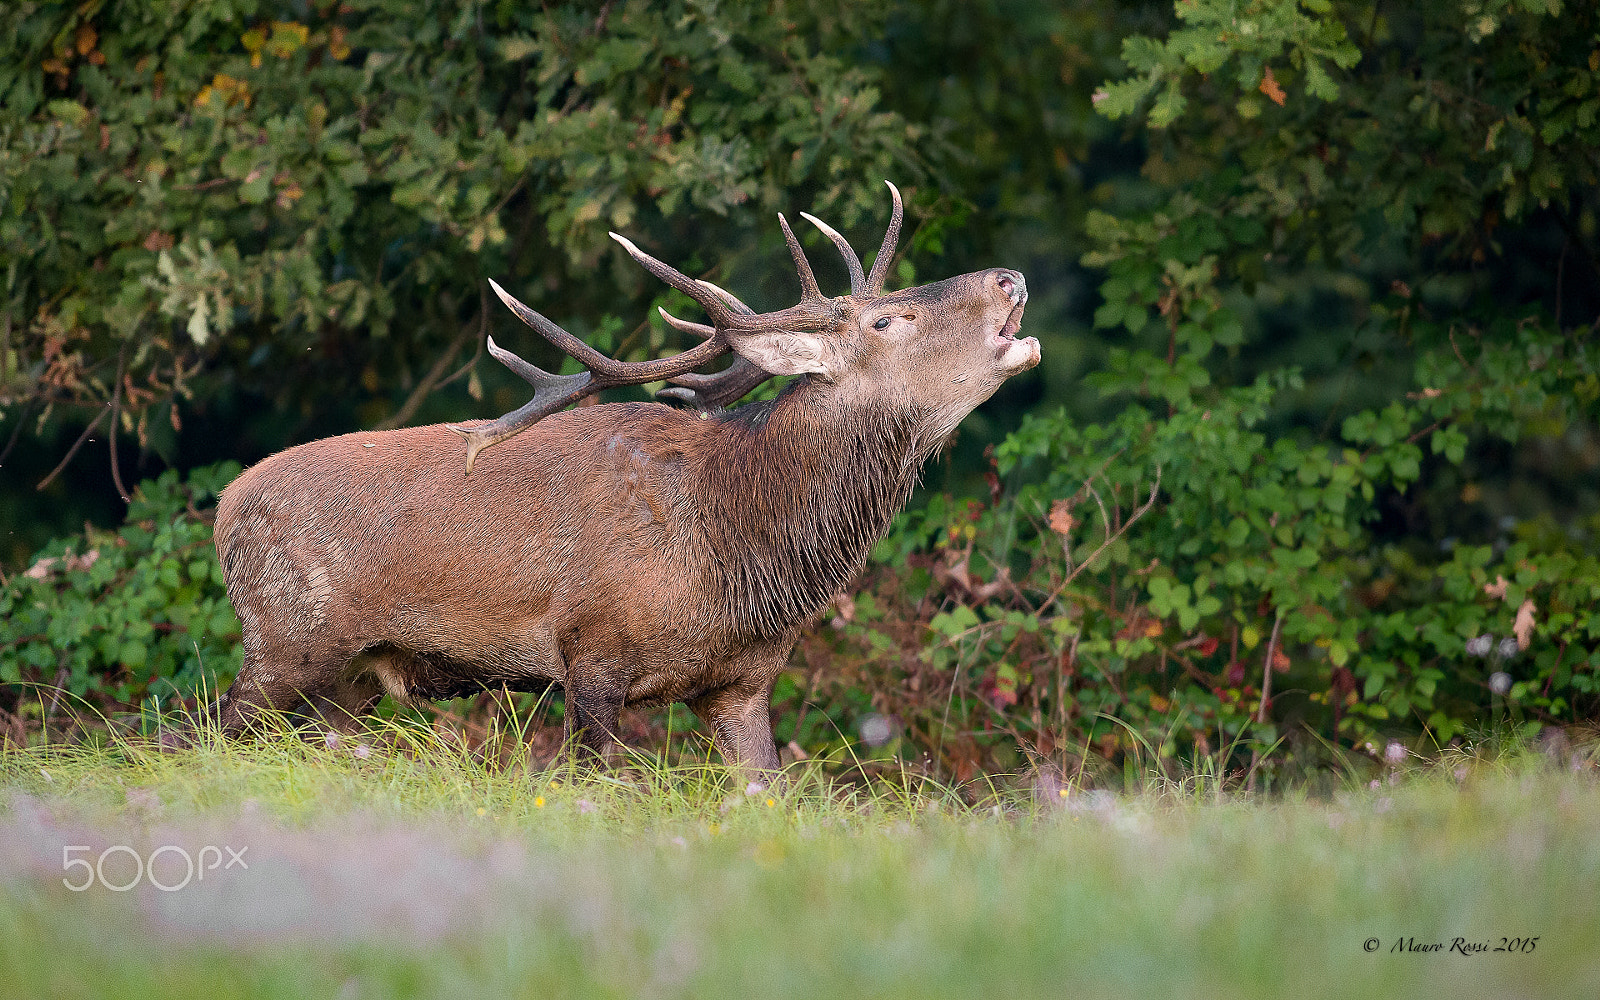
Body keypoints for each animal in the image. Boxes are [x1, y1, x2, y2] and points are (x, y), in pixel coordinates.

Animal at [210, 182, 1038, 777]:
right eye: (884, 323)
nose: (1010, 276)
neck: (739, 551)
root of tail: (223, 509)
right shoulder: (590, 650)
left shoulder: (743, 684)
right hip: (286, 635)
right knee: (207, 734)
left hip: (347, 680)